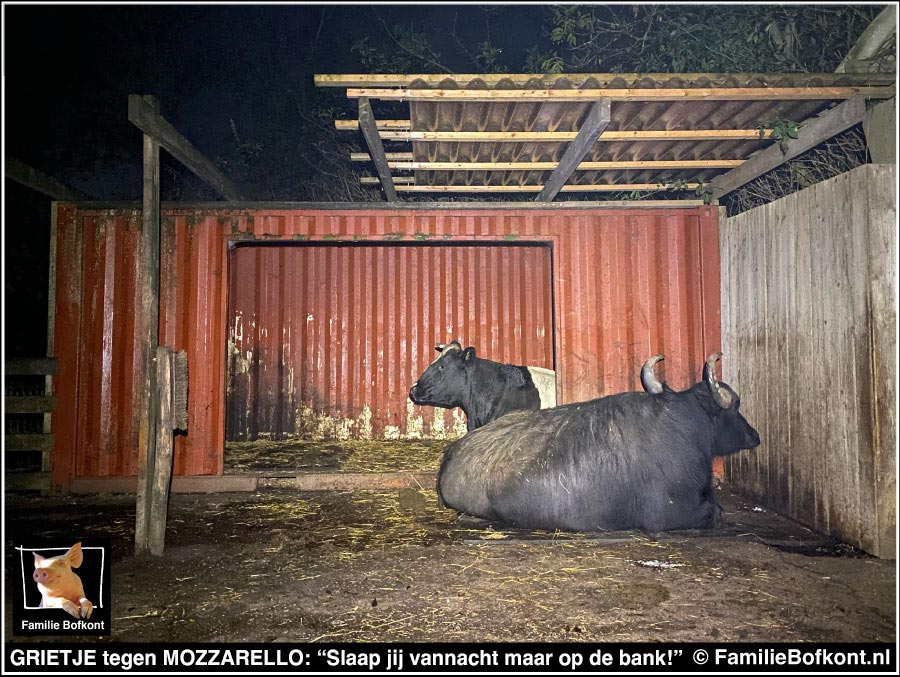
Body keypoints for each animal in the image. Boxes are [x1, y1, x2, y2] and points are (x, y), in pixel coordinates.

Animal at [436, 352, 760, 532]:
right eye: (736, 406)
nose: (754, 435)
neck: (688, 428)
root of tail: (453, 453)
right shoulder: (671, 512)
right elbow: (717, 513)